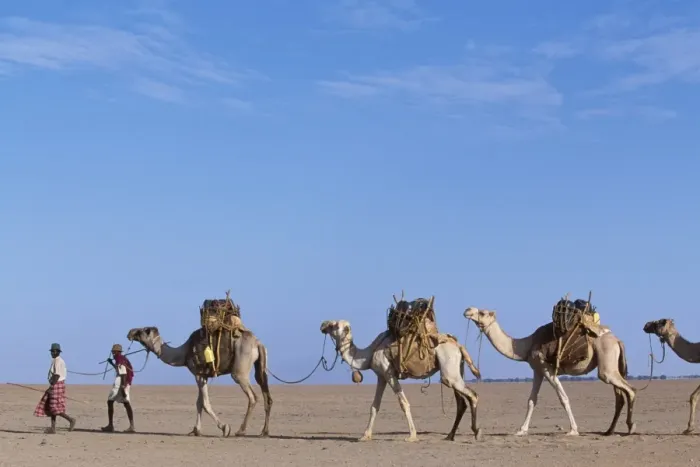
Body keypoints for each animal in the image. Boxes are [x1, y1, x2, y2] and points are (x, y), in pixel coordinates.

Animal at [126, 326, 272, 437]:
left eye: (143, 330)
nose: (130, 332)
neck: (183, 353)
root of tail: (258, 343)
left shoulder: (198, 374)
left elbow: (205, 403)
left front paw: (224, 428)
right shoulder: (204, 375)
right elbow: (199, 403)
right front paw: (195, 430)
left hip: (240, 370)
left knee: (252, 396)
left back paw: (241, 431)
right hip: (260, 366)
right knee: (266, 395)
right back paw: (264, 432)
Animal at [319, 319, 482, 442]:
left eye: (334, 325)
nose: (323, 325)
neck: (368, 354)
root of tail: (458, 345)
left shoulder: (389, 373)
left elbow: (403, 403)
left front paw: (412, 436)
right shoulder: (381, 376)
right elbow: (374, 406)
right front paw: (365, 436)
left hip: (449, 372)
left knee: (473, 395)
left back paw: (476, 432)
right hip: (457, 370)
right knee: (461, 402)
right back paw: (450, 436)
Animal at [463, 307, 636, 436]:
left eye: (482, 312)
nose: (467, 310)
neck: (526, 346)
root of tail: (618, 341)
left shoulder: (547, 368)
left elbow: (563, 398)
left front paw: (573, 430)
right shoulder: (537, 370)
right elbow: (531, 400)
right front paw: (521, 430)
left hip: (606, 365)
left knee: (630, 390)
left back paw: (630, 427)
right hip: (611, 366)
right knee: (620, 396)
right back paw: (609, 431)